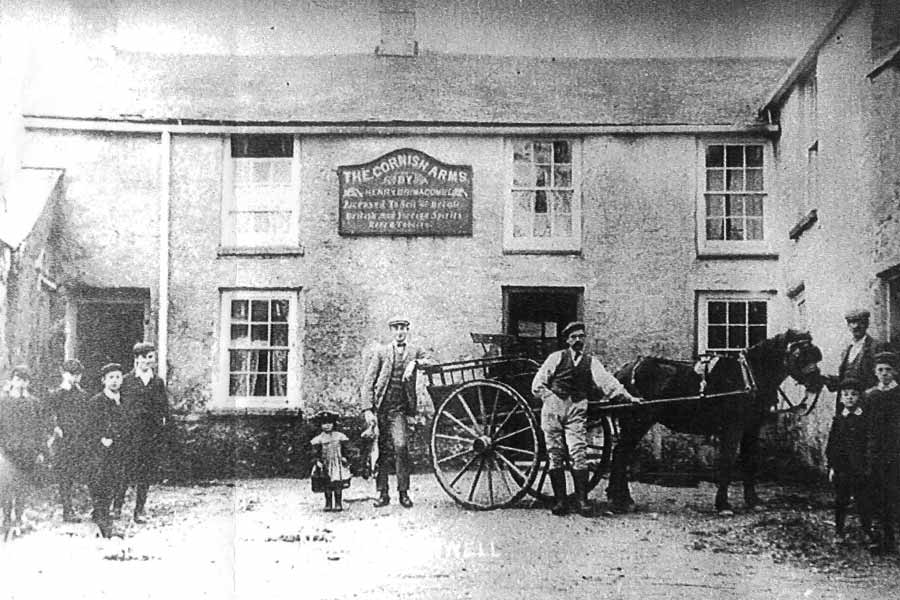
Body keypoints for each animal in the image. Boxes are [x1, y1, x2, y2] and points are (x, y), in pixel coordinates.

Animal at [608, 330, 828, 512]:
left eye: (816, 354)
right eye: (799, 354)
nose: (818, 382)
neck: (749, 376)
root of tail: (622, 371)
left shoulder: (752, 428)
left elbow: (749, 461)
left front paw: (753, 501)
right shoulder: (733, 428)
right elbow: (728, 461)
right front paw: (723, 504)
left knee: (620, 454)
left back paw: (617, 497)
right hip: (637, 423)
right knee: (620, 454)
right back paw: (623, 500)